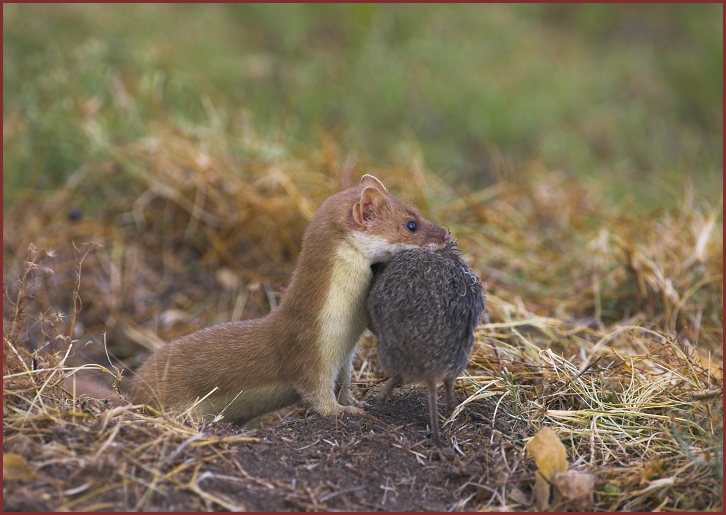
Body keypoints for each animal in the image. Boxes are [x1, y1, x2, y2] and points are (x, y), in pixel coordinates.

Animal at [132, 175, 450, 426]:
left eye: (417, 211)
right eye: (411, 224)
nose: (446, 233)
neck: (344, 328)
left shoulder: (347, 355)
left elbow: (344, 382)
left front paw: (356, 402)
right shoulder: (308, 349)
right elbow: (317, 393)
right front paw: (344, 411)